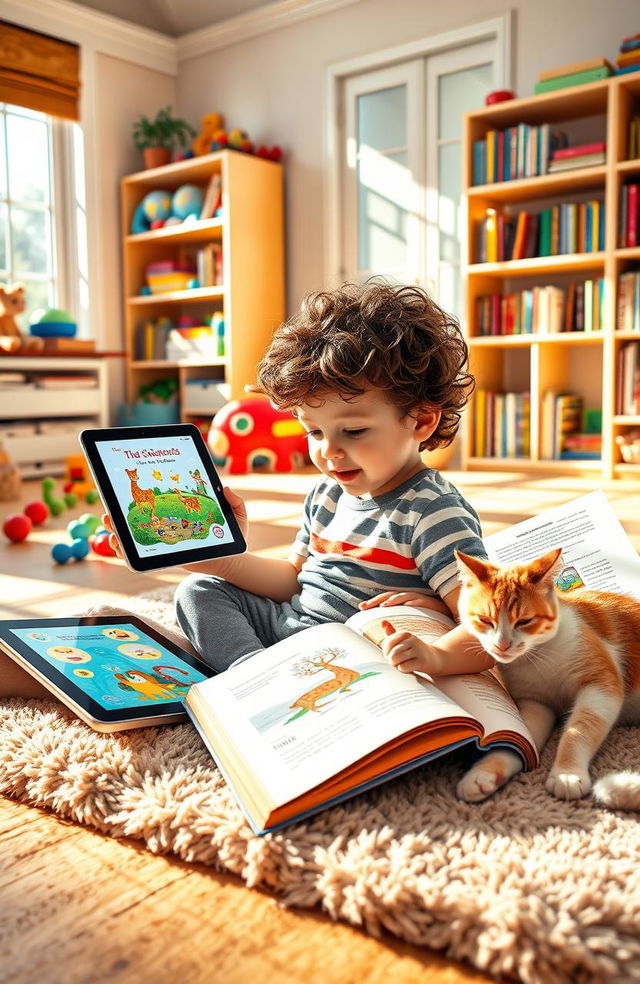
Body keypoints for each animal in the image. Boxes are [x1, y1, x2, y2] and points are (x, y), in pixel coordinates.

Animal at [456, 544, 640, 808]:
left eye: (524, 621)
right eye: (484, 620)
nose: (502, 645)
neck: (538, 658)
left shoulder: (601, 683)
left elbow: (578, 730)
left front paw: (567, 774)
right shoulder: (536, 703)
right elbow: (522, 739)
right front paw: (483, 773)